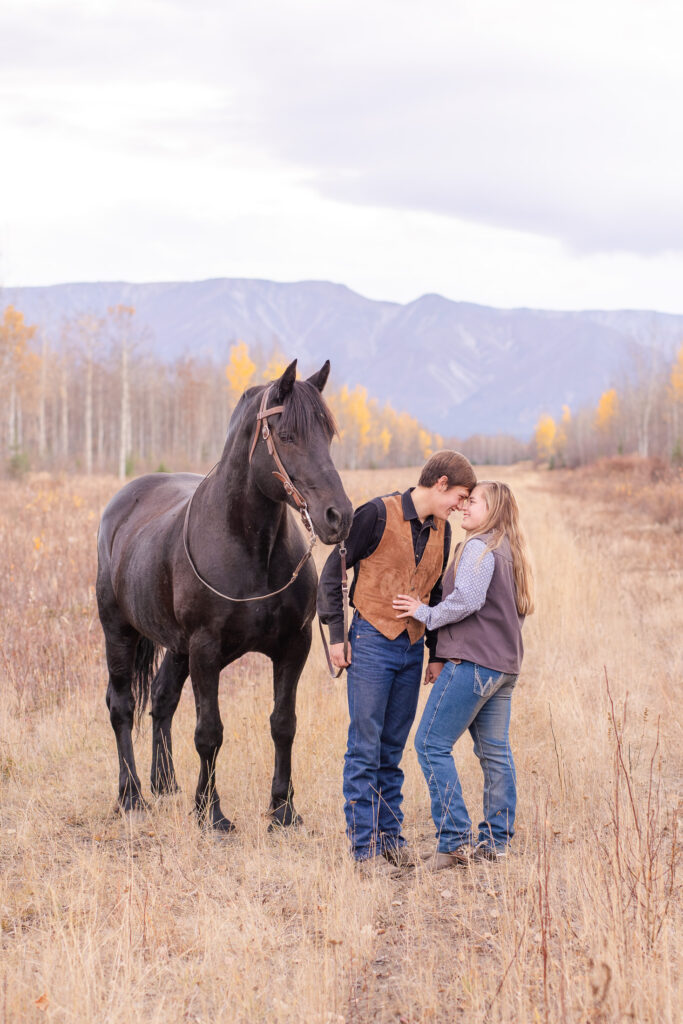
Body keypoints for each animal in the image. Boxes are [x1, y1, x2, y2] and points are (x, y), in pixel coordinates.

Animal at [96, 360, 352, 831]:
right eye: (287, 435)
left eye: (328, 434)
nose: (338, 517)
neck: (249, 548)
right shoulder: (206, 649)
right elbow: (209, 731)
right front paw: (211, 814)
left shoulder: (295, 645)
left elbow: (283, 723)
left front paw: (283, 810)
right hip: (119, 631)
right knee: (121, 705)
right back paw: (132, 796)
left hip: (176, 648)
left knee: (162, 699)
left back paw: (165, 785)